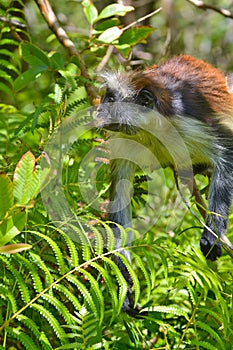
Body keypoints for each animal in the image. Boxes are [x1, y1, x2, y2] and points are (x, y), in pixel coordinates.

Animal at [96, 55, 233, 314]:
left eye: (111, 100)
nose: (98, 110)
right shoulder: (125, 139)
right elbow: (120, 212)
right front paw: (126, 289)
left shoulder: (184, 122)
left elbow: (228, 154)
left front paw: (212, 235)